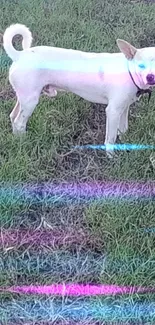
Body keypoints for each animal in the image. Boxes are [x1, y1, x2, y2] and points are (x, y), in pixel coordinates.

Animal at [2, 23, 155, 156]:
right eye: (141, 65)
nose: (150, 77)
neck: (128, 70)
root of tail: (20, 55)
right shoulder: (113, 111)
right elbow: (110, 138)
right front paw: (111, 156)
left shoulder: (124, 108)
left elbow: (123, 128)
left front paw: (126, 141)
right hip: (30, 101)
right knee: (19, 122)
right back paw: (24, 142)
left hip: (24, 98)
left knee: (13, 117)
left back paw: (17, 140)